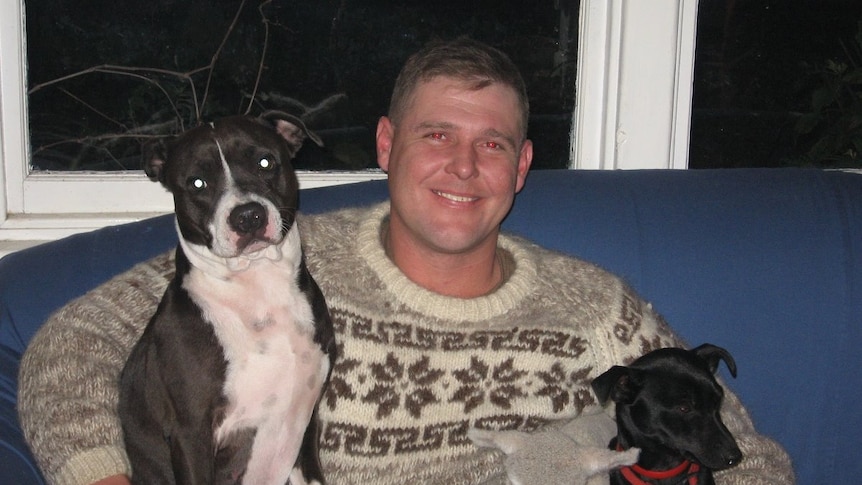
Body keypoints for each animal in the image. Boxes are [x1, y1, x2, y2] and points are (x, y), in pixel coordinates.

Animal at [120, 110, 336, 484]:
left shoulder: (306, 423)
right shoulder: (191, 432)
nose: (248, 216)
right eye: (197, 183)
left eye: (266, 162)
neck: (259, 287)